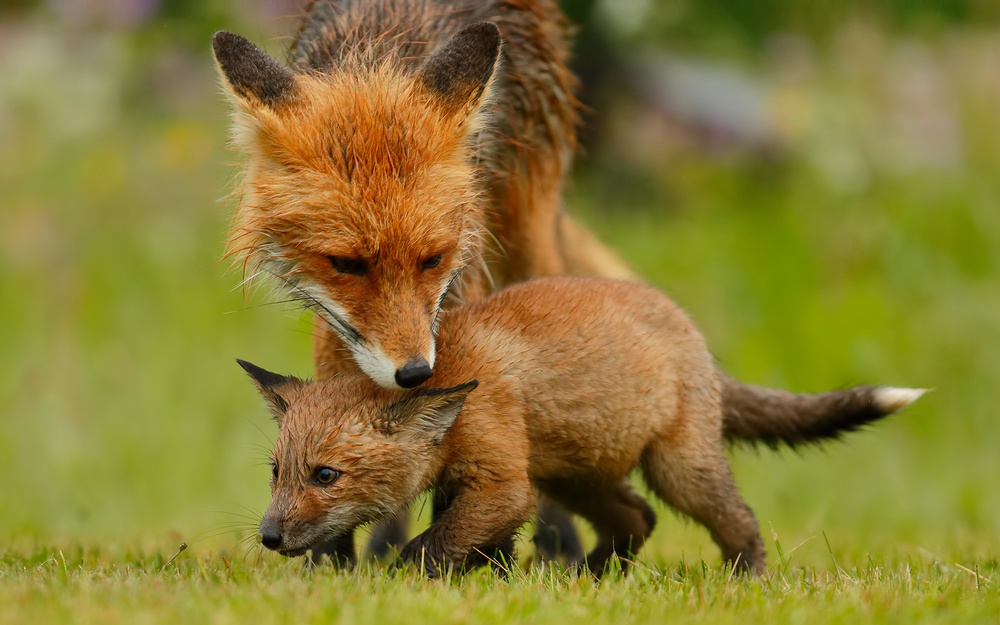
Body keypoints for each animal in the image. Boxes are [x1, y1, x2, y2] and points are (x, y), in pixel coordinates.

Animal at [236, 278, 920, 576]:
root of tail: (688, 328)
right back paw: (590, 578)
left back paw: (745, 577)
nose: (268, 536)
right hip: (571, 477)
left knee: (736, 519)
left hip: (677, 470)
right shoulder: (482, 483)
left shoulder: (503, 483)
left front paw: (399, 582)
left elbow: (429, 547)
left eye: (326, 476)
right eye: (276, 473)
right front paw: (495, 583)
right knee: (638, 517)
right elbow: (477, 546)